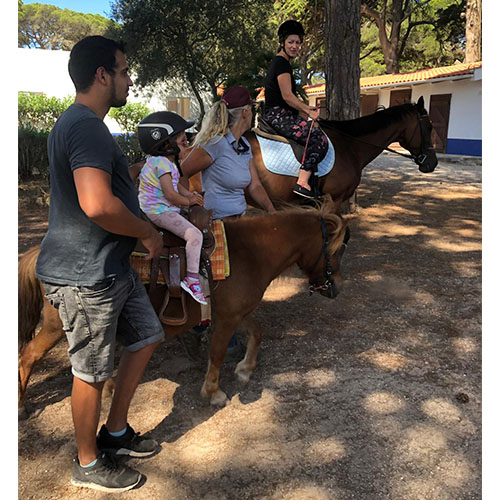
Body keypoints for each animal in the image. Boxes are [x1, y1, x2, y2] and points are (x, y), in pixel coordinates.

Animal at [18, 196, 348, 410]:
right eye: (338, 250)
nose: (335, 288)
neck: (250, 252)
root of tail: (39, 254)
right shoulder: (226, 318)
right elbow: (217, 353)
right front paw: (213, 392)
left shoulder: (235, 313)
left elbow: (256, 332)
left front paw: (245, 368)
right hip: (56, 326)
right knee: (28, 356)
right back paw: (21, 404)